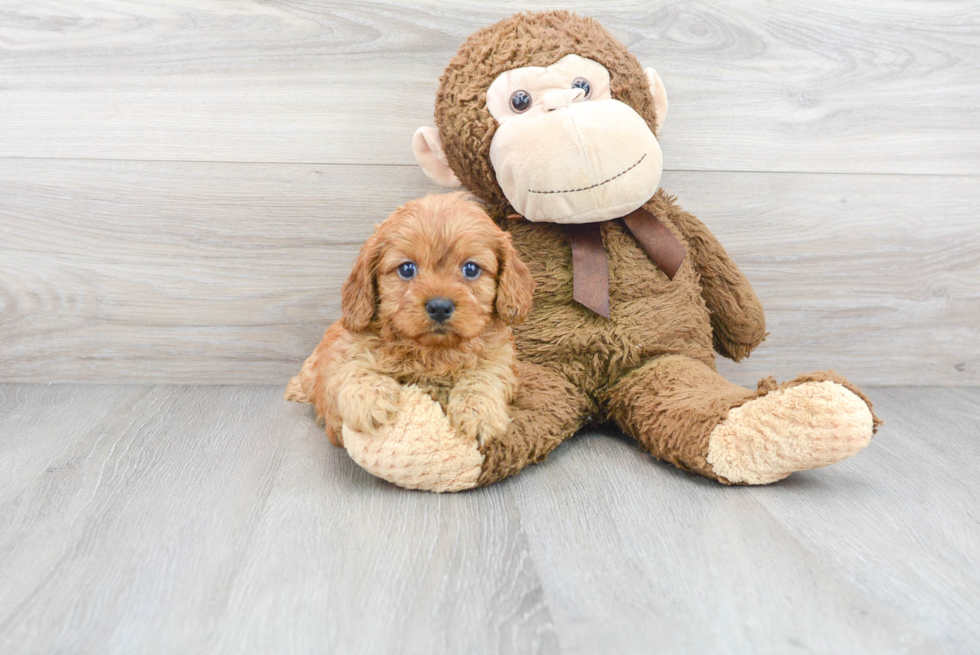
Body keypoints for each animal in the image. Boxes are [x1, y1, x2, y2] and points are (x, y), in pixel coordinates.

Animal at [288, 192, 536, 448]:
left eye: (471, 269)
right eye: (407, 269)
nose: (439, 307)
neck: (432, 353)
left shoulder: (500, 358)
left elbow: (485, 376)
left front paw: (478, 411)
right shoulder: (345, 351)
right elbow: (351, 368)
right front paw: (371, 398)